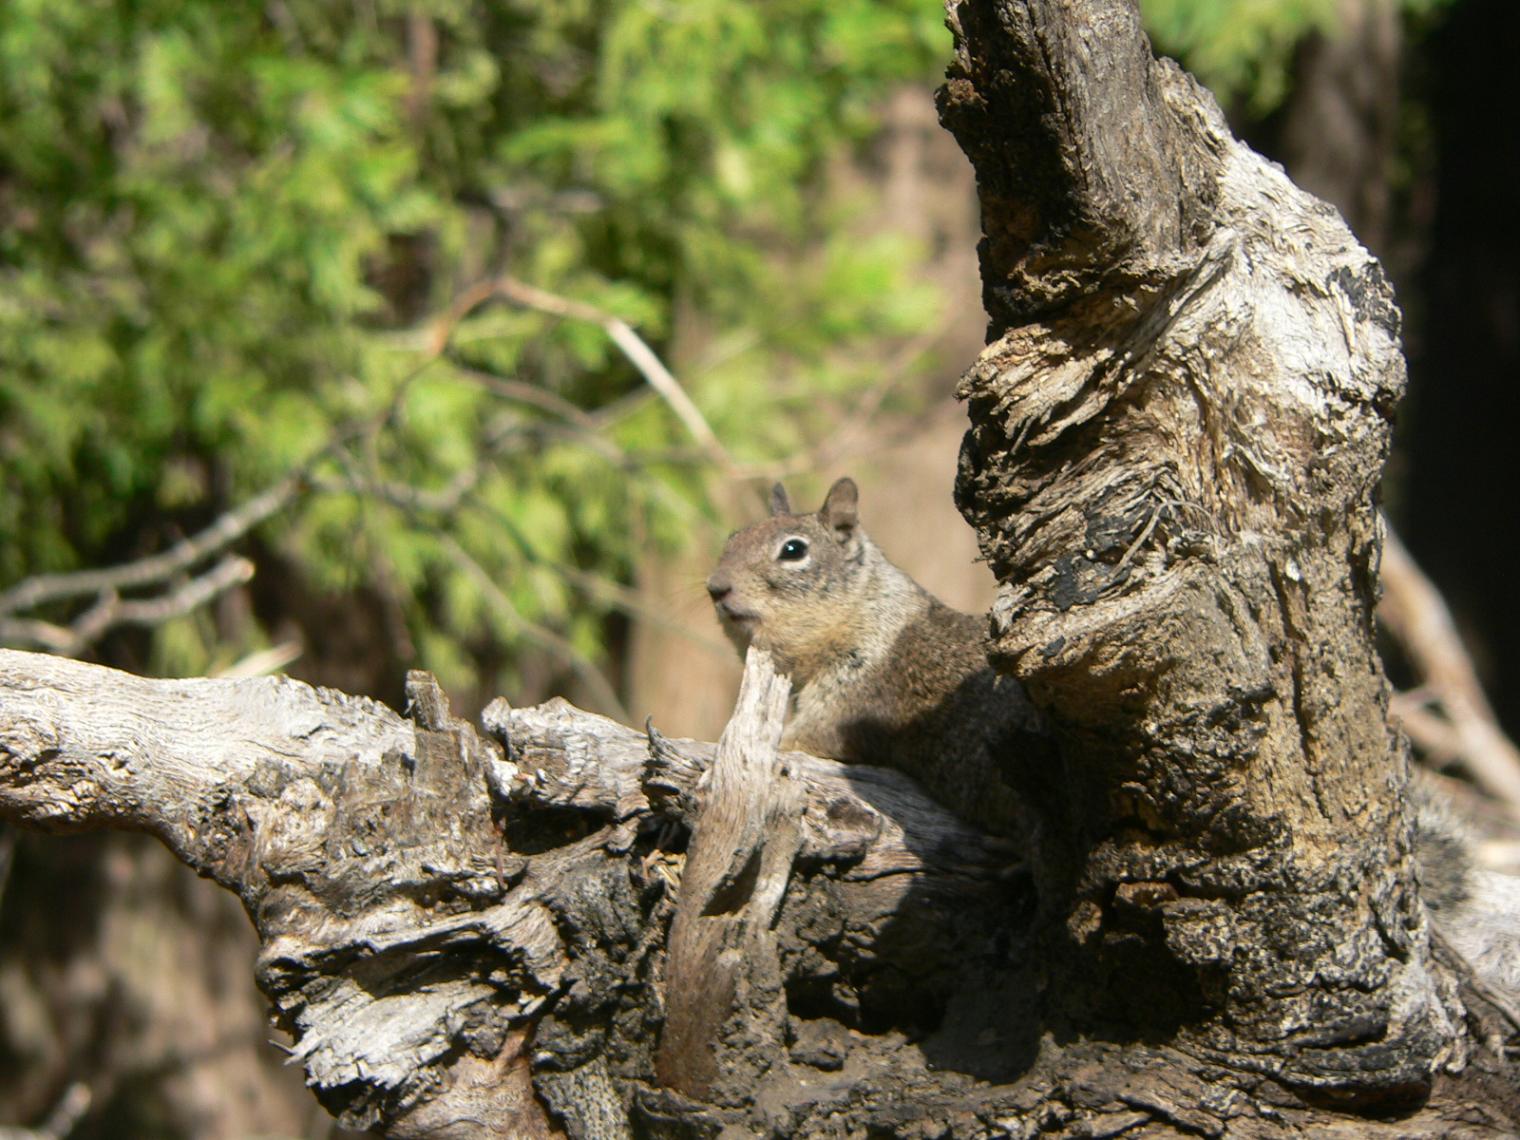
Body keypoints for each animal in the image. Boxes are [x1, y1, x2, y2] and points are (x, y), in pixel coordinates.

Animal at [702, 477, 1045, 832]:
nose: (716, 587)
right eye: (732, 538)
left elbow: (803, 739)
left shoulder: (848, 704)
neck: (866, 611)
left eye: (793, 550)